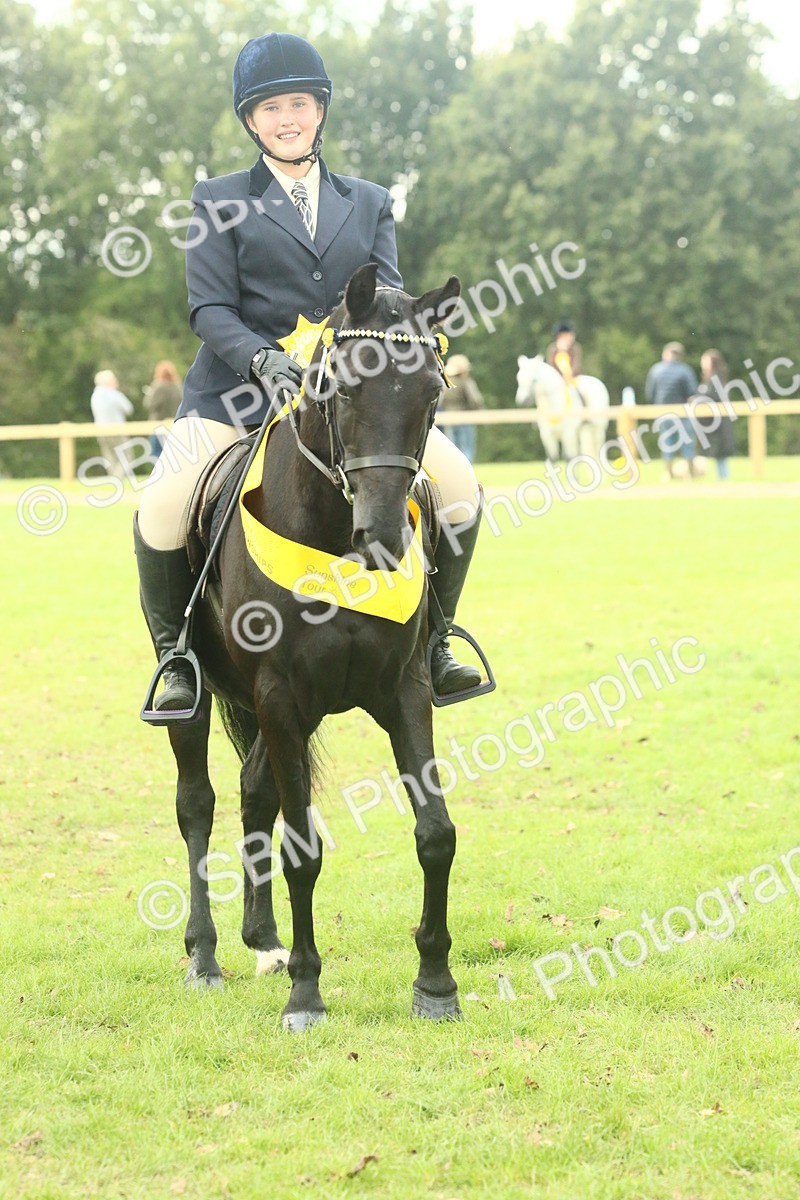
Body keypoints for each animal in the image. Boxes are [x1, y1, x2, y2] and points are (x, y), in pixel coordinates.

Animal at [166, 264, 466, 1030]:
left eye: (432, 393)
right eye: (346, 389)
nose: (383, 537)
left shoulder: (404, 692)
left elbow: (435, 832)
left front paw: (435, 984)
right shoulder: (282, 698)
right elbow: (302, 850)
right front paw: (306, 993)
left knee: (253, 794)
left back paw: (264, 939)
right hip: (201, 703)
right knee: (197, 804)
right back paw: (205, 956)